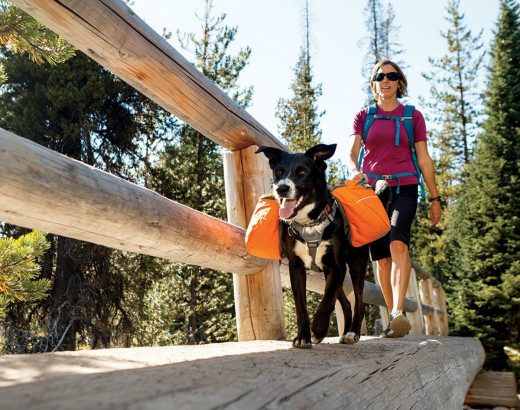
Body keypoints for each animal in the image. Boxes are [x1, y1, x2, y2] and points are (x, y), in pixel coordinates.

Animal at [256, 143, 390, 348]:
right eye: (279, 172)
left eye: (302, 172)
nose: (281, 188)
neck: (310, 224)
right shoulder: (297, 267)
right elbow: (301, 306)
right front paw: (303, 336)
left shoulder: (336, 266)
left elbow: (327, 300)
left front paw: (318, 329)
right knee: (346, 302)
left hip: (355, 263)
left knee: (358, 301)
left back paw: (352, 333)